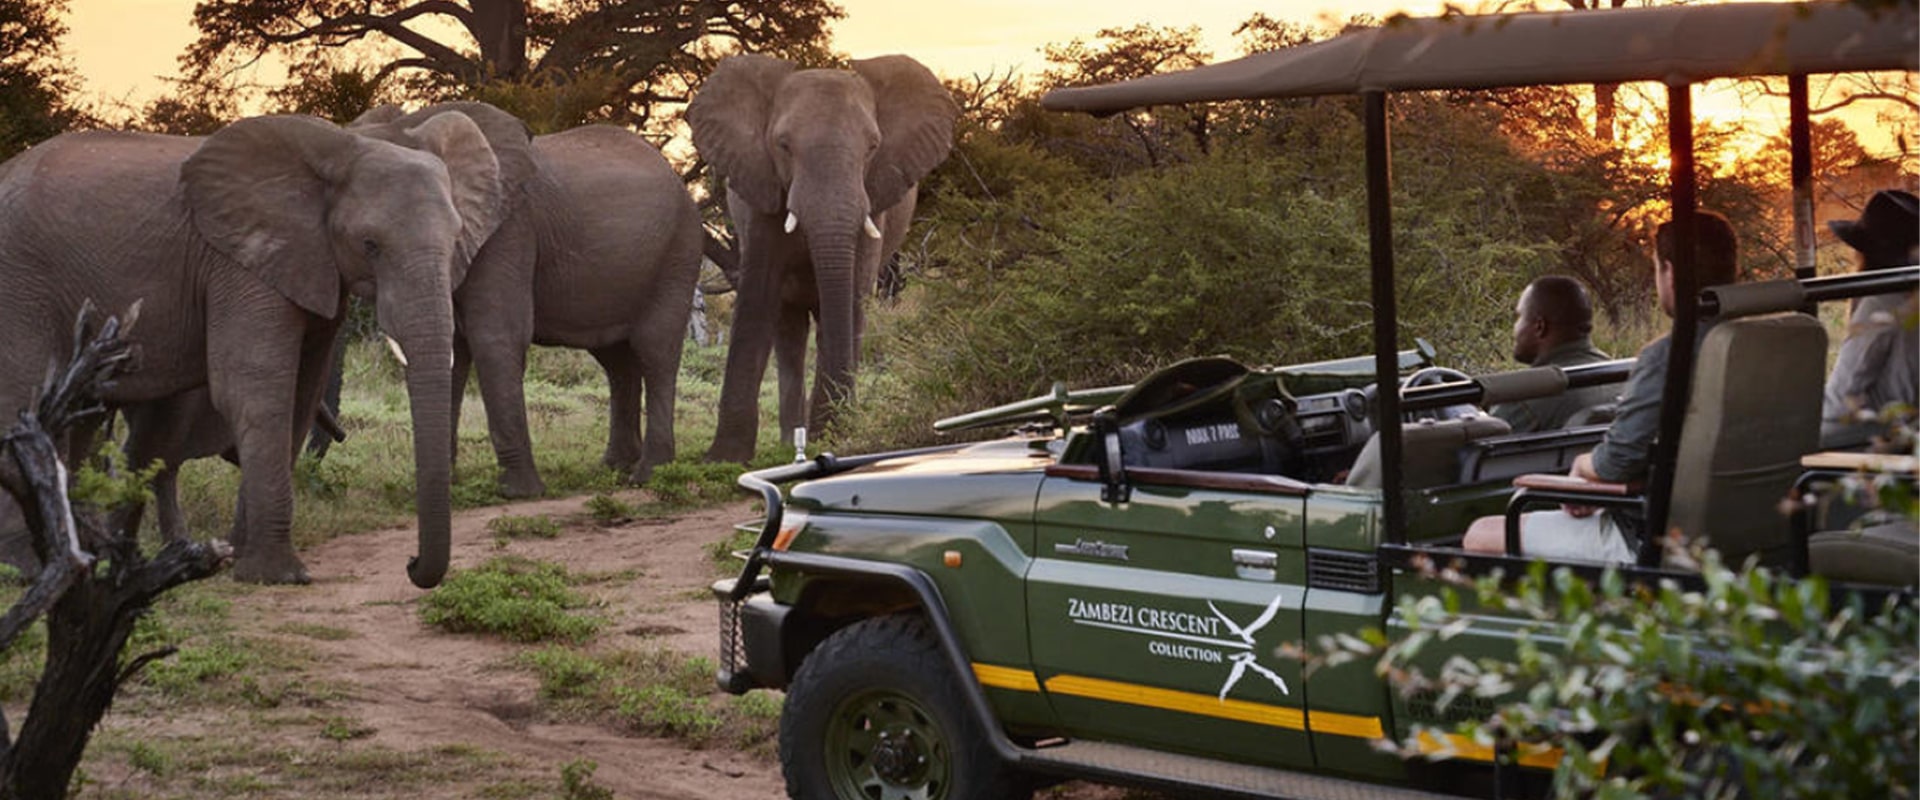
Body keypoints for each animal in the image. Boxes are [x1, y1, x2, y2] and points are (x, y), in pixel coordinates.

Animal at [0, 112, 510, 583]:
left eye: (456, 241)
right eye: (370, 244)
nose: (410, 563)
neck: (342, 146)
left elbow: (300, 395)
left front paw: (239, 557)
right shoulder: (240, 263)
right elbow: (256, 387)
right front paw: (276, 575)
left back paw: (92, 556)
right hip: (21, 283)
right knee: (23, 400)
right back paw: (30, 567)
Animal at [691, 54, 960, 460]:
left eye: (873, 147)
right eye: (783, 145)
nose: (833, 433)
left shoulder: (874, 199)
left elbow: (852, 298)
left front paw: (835, 435)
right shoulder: (760, 193)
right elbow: (757, 297)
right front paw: (724, 457)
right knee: (790, 332)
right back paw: (791, 440)